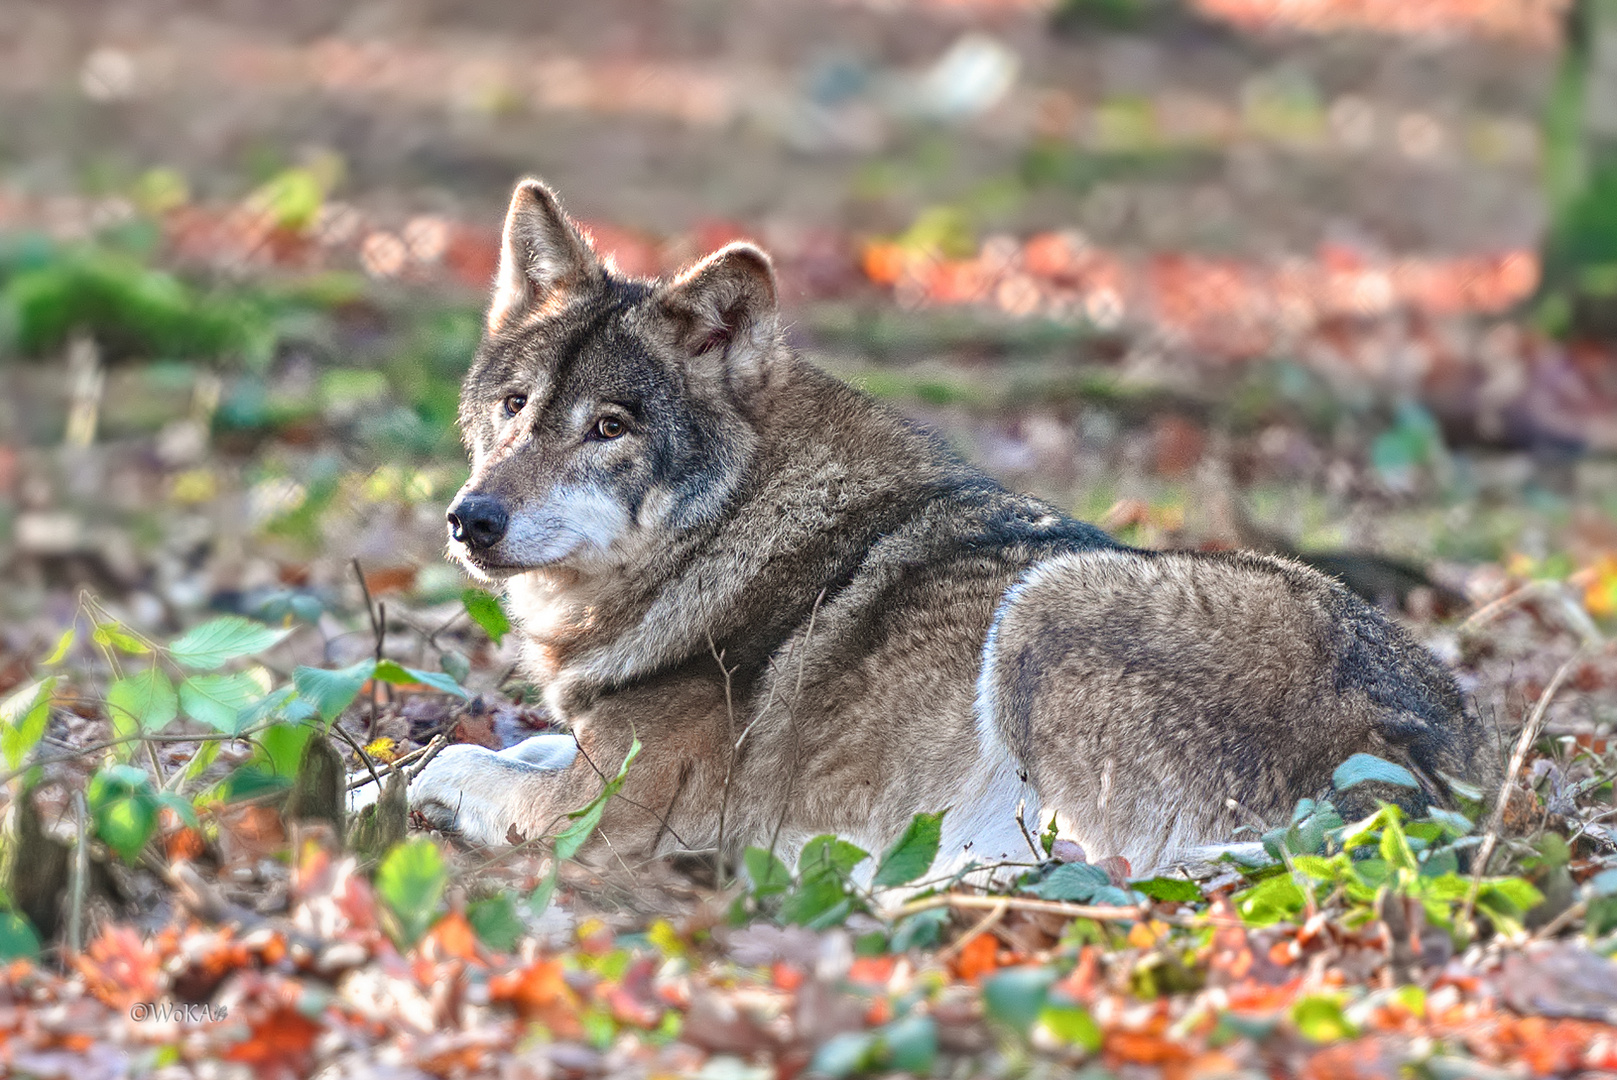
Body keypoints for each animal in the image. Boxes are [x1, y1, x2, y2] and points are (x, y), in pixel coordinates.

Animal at [371, 179, 1494, 879]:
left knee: (1107, 872)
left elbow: (456, 763)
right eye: (514, 407)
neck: (728, 537)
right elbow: (484, 745)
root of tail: (1427, 792)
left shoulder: (603, 809)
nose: (471, 520)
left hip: (1052, 607)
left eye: (609, 427)